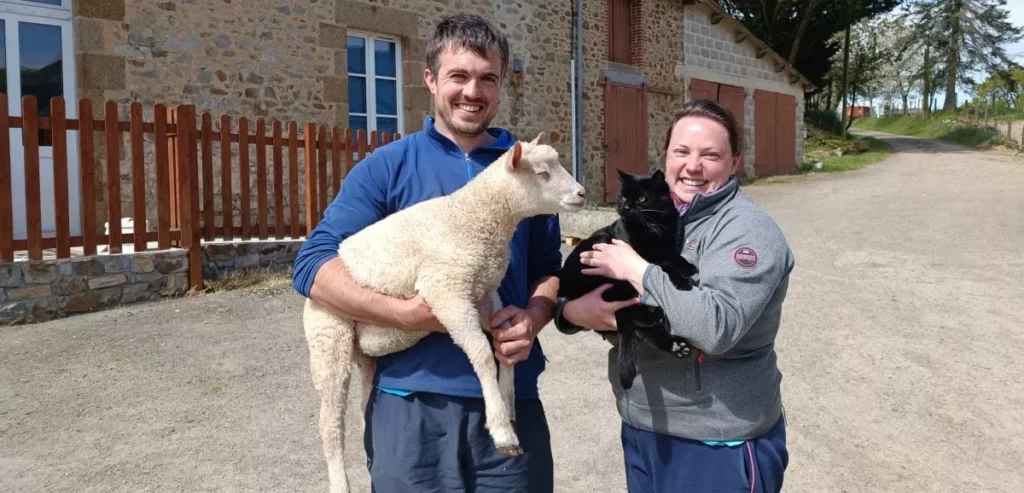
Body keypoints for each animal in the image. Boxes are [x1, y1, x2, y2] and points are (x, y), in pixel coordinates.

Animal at [557, 167, 700, 389]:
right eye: (623, 196)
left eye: (642, 198)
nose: (626, 207)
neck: (654, 226)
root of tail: (565, 288)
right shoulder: (639, 257)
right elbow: (662, 264)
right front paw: (683, 279)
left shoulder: (669, 245)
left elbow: (671, 256)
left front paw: (687, 267)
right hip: (605, 265)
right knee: (626, 309)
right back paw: (657, 319)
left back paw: (675, 344)